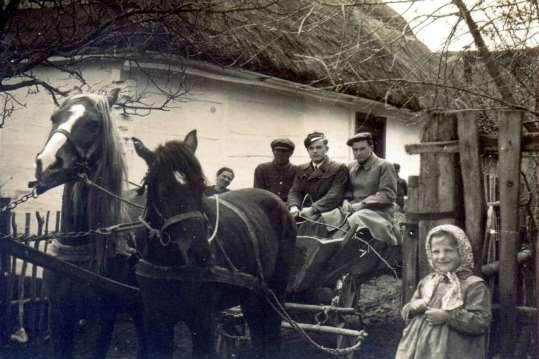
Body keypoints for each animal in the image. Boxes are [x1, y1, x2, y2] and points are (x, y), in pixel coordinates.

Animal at [134, 131, 296, 358]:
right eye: (165, 191)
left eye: (201, 187)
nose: (201, 253)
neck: (169, 263)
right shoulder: (156, 318)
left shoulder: (203, 320)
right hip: (252, 294)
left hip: (276, 291)